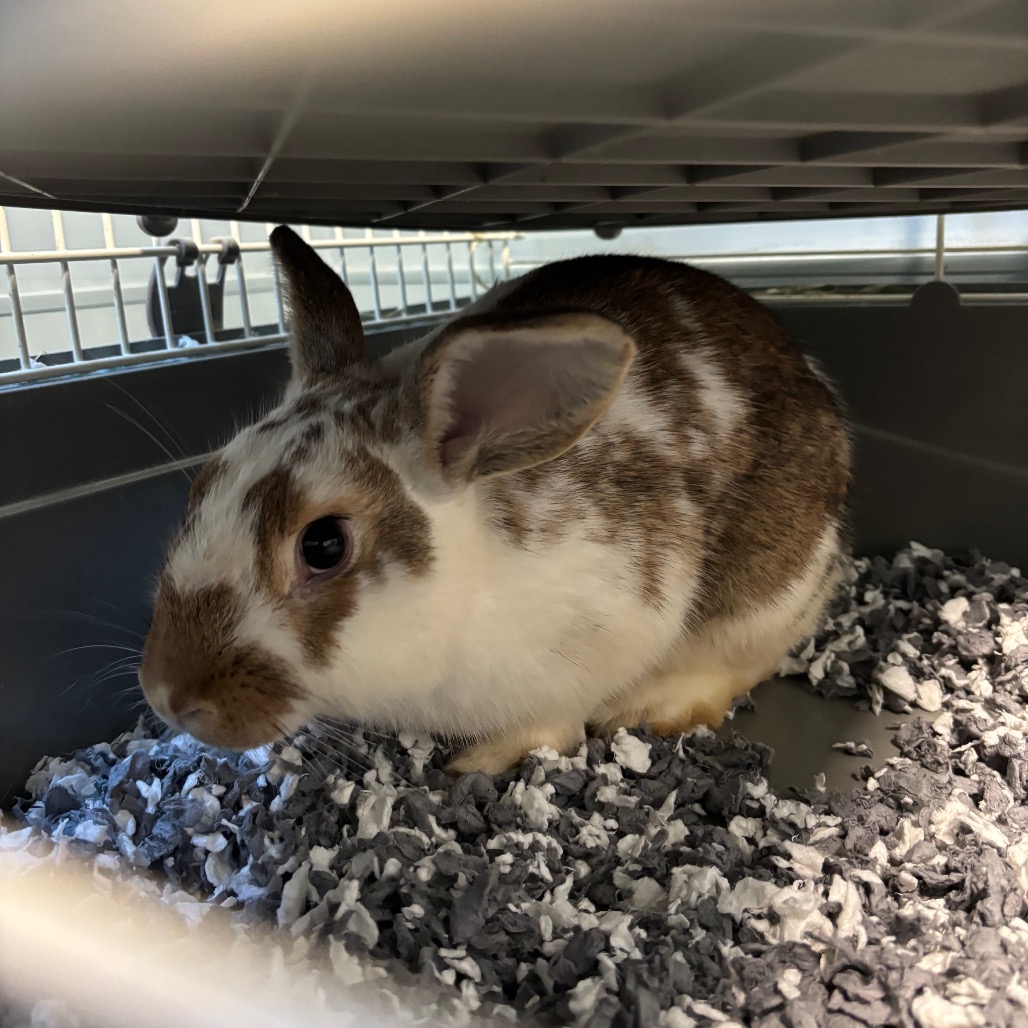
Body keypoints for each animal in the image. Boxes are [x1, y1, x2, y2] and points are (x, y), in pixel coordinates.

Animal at [139, 226, 851, 775]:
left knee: (742, 660)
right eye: (203, 486)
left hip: (766, 602)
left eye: (324, 545)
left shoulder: (611, 625)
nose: (168, 695)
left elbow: (555, 723)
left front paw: (477, 764)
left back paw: (657, 705)